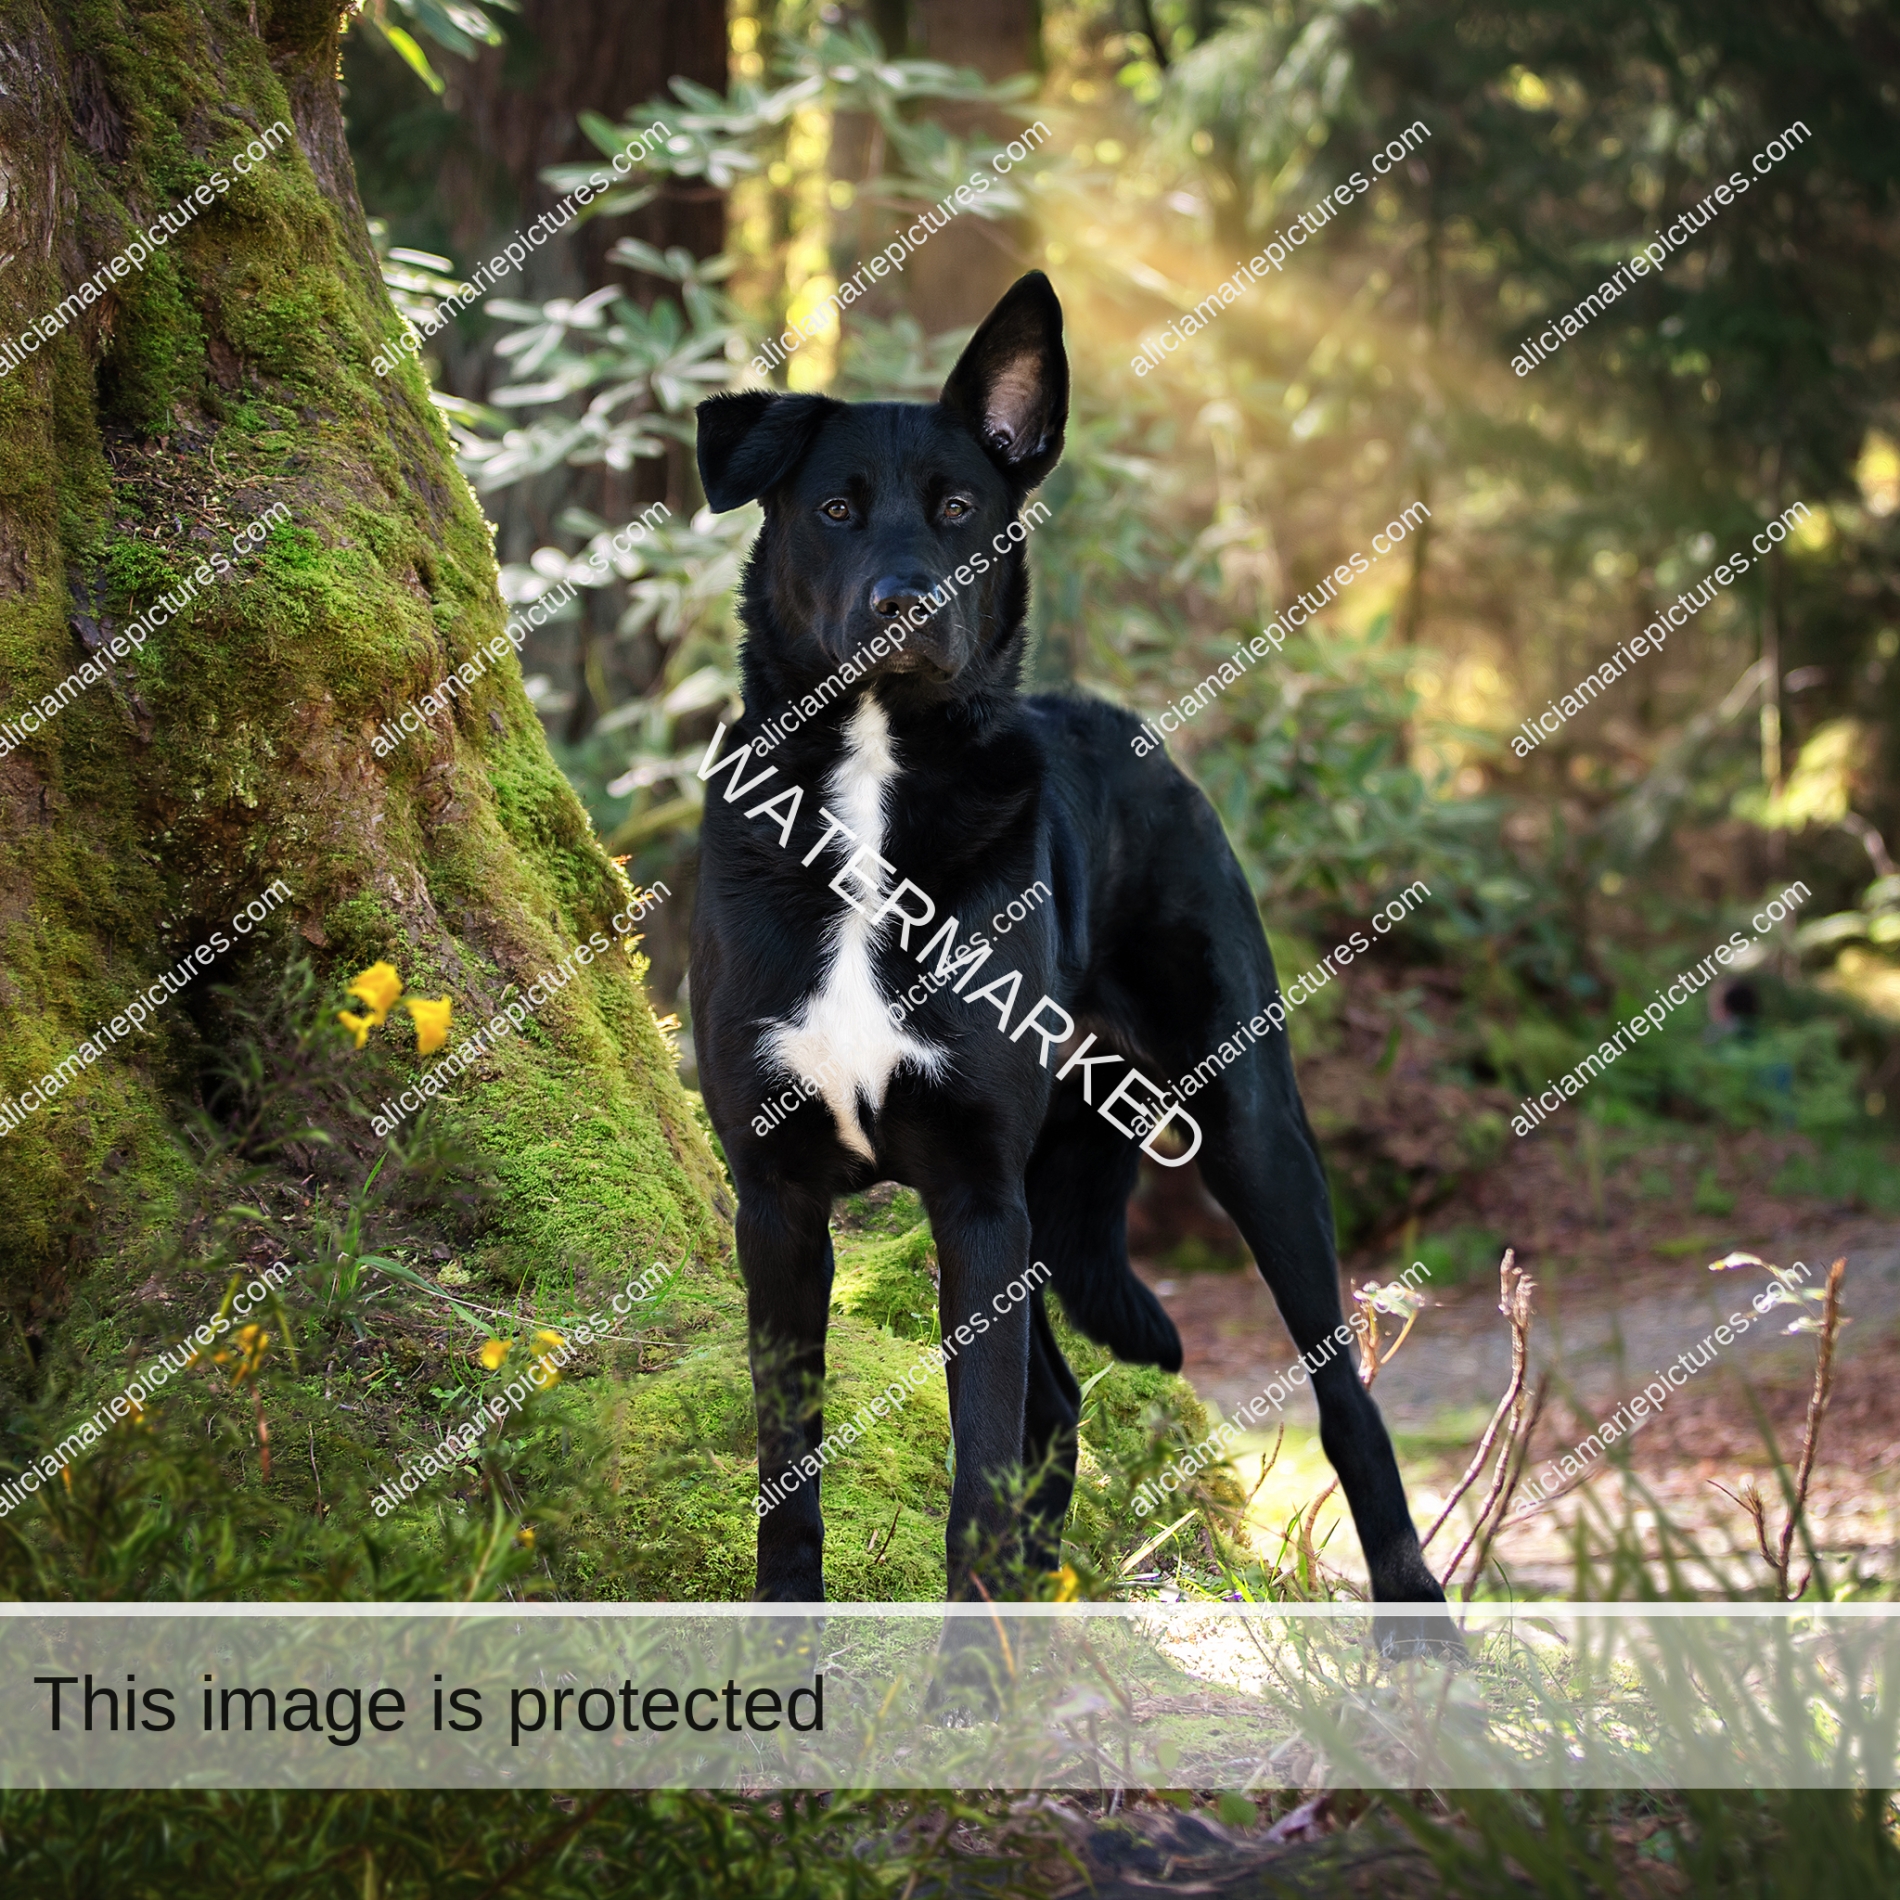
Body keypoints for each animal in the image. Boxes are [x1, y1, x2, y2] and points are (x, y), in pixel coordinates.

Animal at [691, 267, 1444, 1611]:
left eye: (957, 508)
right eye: (834, 507)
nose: (906, 606)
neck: (875, 785)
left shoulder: (978, 1192)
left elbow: (975, 1477)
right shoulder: (778, 1199)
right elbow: (791, 1469)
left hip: (1252, 1131)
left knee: (1342, 1399)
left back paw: (1418, 1615)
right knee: (1055, 1404)